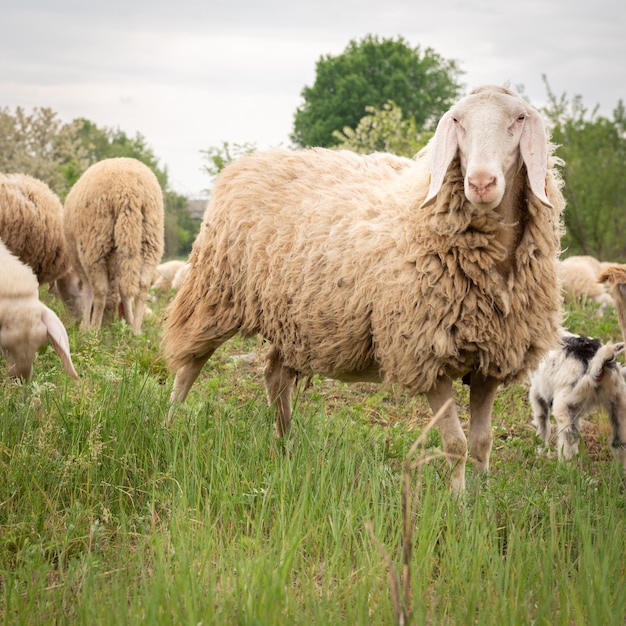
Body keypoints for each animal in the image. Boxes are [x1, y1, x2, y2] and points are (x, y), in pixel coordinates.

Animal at [63, 156, 165, 332]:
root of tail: (128, 190)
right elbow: (123, 292)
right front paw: (128, 322)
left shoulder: (79, 259)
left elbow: (87, 290)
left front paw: (85, 325)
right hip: (150, 239)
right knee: (142, 285)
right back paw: (136, 330)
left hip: (95, 243)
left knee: (100, 290)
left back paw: (94, 330)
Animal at [163, 83, 564, 492]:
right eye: (456, 120)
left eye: (519, 118)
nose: (481, 183)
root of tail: (246, 163)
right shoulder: (421, 351)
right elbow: (456, 443)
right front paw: (457, 500)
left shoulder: (492, 358)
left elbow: (482, 441)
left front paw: (480, 496)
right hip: (216, 291)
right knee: (190, 362)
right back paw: (171, 422)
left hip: (293, 319)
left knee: (275, 375)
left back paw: (285, 444)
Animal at [528, 334, 624, 466]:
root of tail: (597, 365)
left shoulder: (537, 395)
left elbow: (543, 426)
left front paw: (540, 454)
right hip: (618, 404)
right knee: (619, 442)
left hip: (564, 406)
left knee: (568, 442)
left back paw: (564, 467)